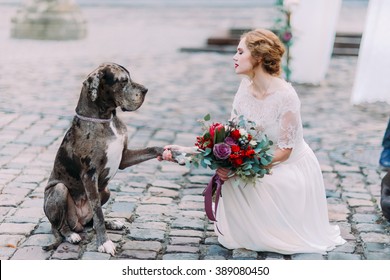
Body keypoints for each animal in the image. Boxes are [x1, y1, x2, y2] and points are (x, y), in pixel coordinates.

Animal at [43, 63, 165, 256]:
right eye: (123, 81)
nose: (145, 90)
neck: (106, 119)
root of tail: (79, 222)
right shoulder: (89, 175)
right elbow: (98, 213)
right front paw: (104, 243)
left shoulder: (124, 158)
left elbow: (152, 149)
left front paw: (175, 153)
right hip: (59, 190)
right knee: (60, 226)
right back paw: (71, 235)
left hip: (106, 190)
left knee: (90, 222)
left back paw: (112, 223)